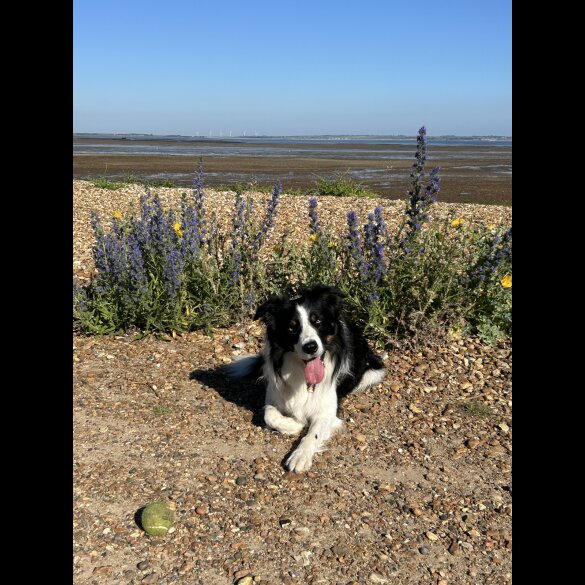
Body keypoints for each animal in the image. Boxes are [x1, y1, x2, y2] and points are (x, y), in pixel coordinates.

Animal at [222, 286, 384, 472]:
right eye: (291, 328)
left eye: (317, 321)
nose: (310, 347)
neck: (304, 378)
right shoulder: (274, 395)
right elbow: (269, 415)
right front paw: (294, 425)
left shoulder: (327, 411)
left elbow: (312, 434)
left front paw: (300, 456)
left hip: (371, 373)